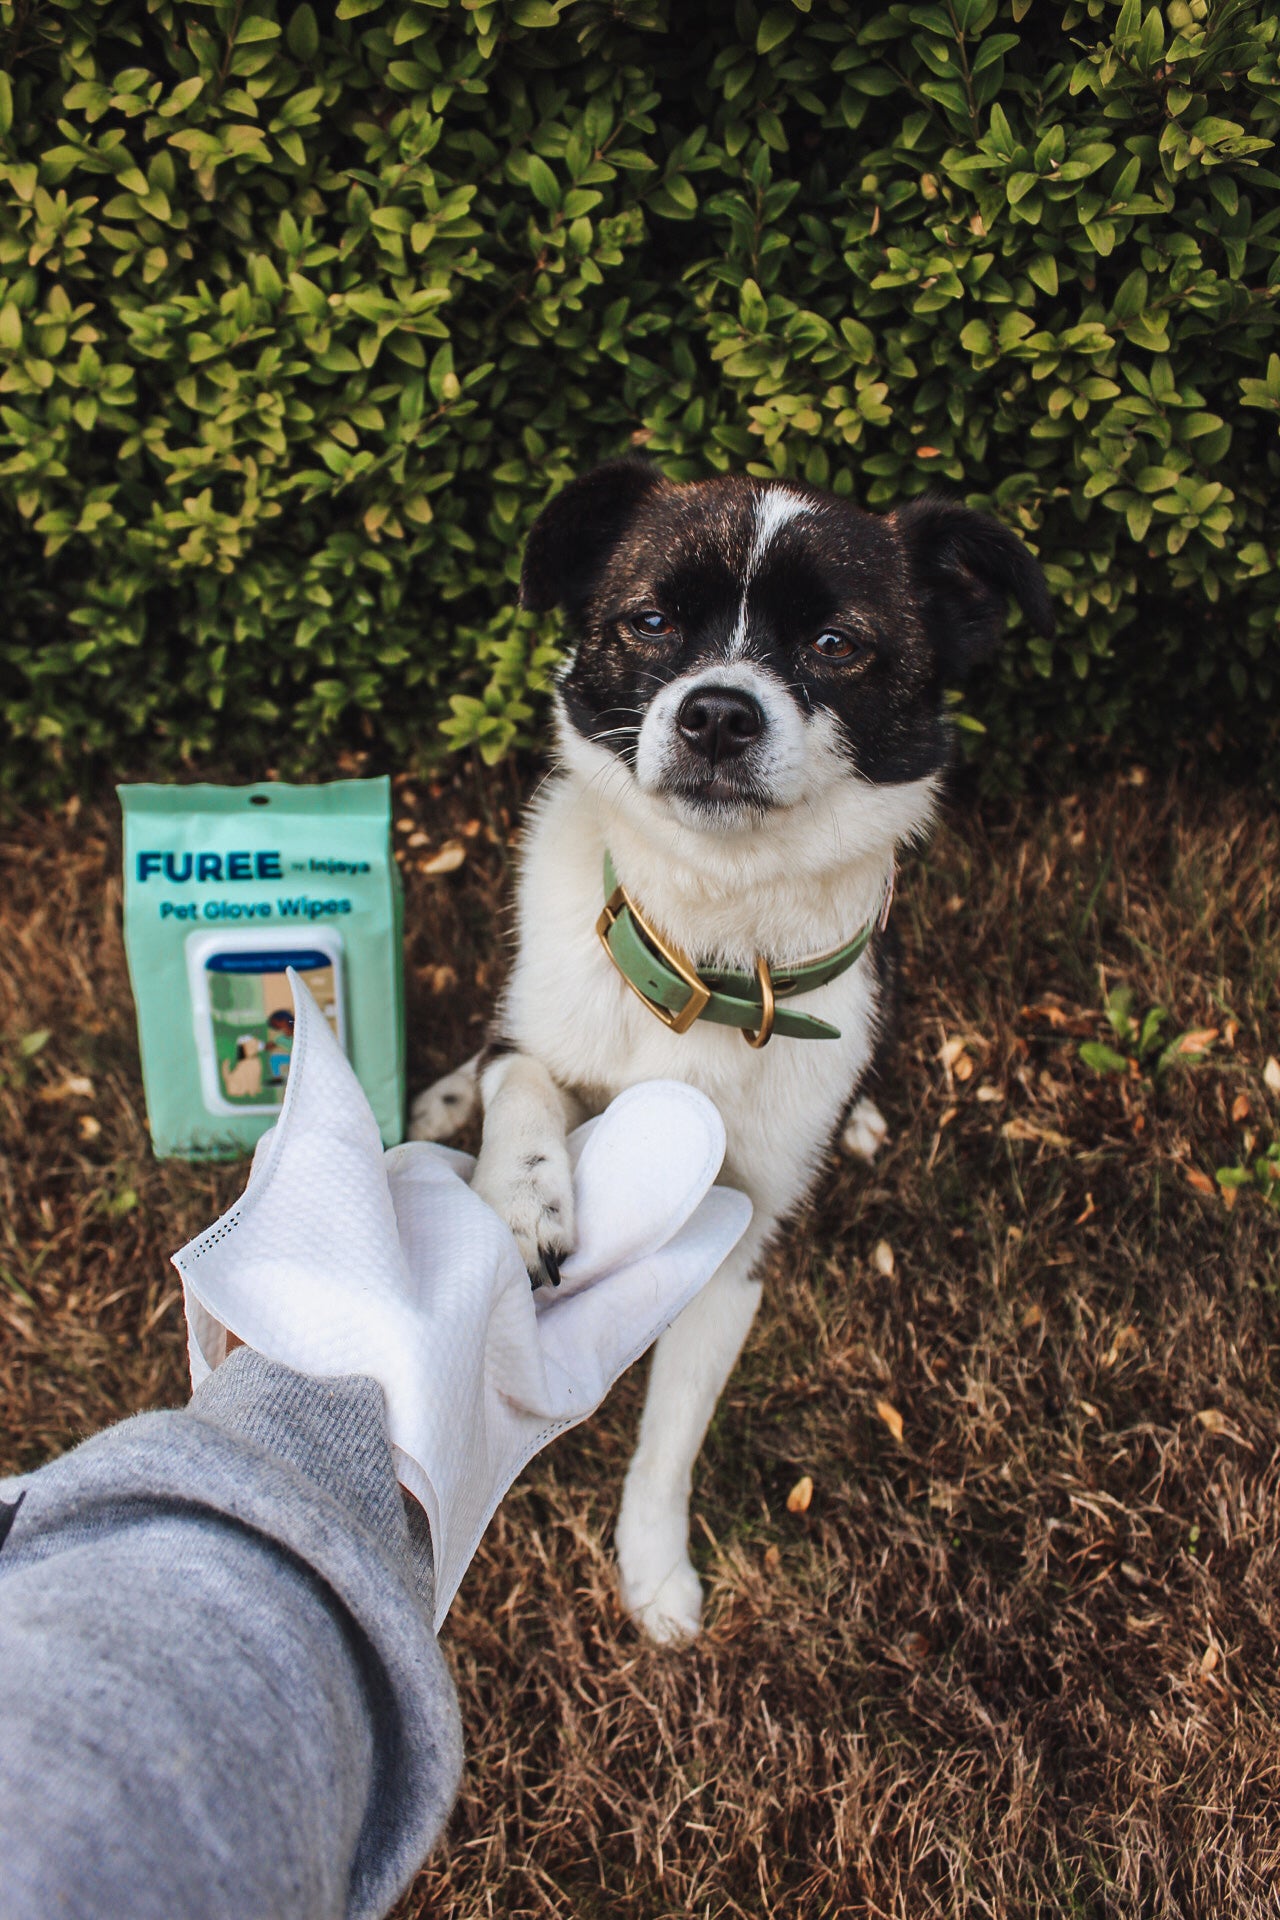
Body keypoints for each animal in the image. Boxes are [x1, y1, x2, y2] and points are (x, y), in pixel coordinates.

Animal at [410, 456, 1051, 1643]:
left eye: (837, 643)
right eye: (651, 621)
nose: (715, 712)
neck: (703, 957)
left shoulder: (740, 1243)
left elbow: (672, 1437)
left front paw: (653, 1570)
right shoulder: (541, 1027)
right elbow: (523, 1081)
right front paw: (524, 1197)